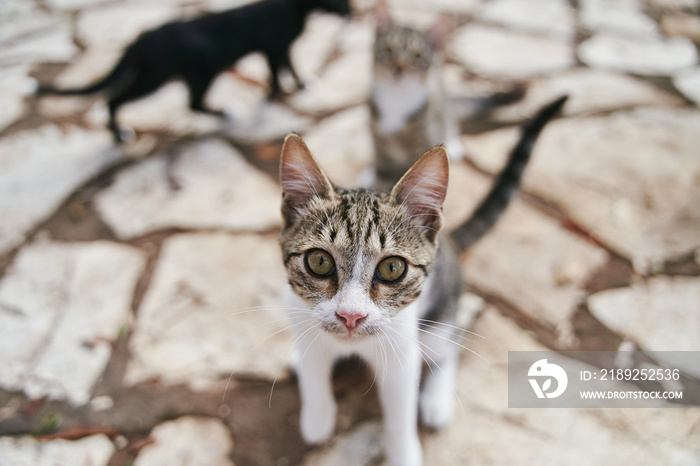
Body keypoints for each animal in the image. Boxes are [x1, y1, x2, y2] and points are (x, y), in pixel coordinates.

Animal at [35, 0, 350, 142]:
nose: (351, 11)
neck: (294, 8)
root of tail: (142, 38)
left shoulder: (281, 50)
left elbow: (291, 67)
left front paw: (300, 84)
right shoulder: (272, 50)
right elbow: (276, 74)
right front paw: (276, 94)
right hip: (171, 77)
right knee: (118, 99)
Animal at [276, 95, 568, 466]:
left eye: (392, 268)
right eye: (319, 261)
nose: (351, 316)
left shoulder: (403, 351)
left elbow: (400, 412)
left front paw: (403, 453)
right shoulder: (300, 313)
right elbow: (314, 369)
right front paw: (317, 418)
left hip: (439, 315)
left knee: (448, 346)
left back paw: (436, 399)